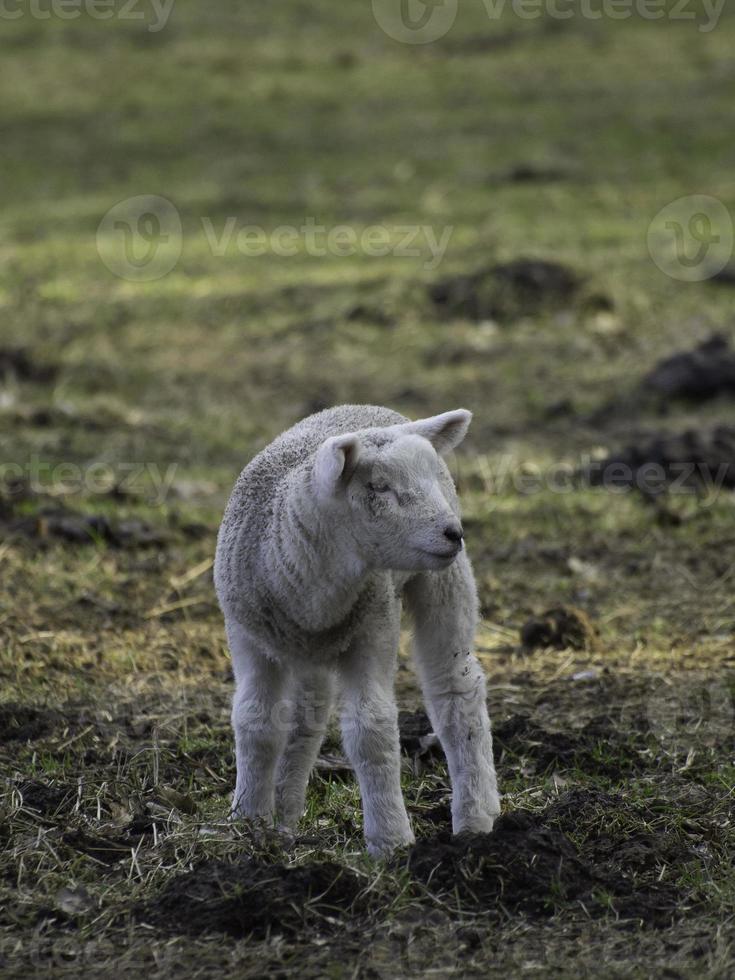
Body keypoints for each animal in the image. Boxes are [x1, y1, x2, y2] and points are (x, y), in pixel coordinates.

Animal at [213, 402, 500, 852]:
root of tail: (375, 409)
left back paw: (475, 817)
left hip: (444, 578)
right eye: (378, 487)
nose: (454, 533)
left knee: (455, 687)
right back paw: (285, 813)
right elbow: (256, 720)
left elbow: (371, 728)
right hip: (306, 649)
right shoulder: (247, 636)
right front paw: (247, 823)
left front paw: (391, 840)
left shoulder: (373, 628)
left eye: (430, 477)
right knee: (307, 717)